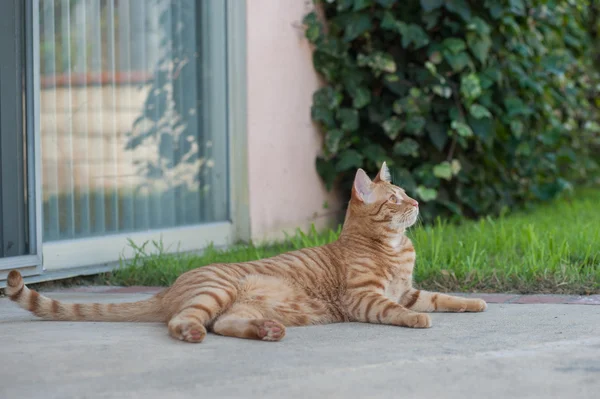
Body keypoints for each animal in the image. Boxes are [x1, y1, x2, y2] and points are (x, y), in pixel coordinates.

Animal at [5, 163, 488, 344]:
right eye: (395, 199)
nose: (418, 203)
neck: (394, 248)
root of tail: (171, 285)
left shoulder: (408, 290)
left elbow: (442, 297)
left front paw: (474, 303)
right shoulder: (366, 298)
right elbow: (398, 311)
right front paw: (417, 321)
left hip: (236, 304)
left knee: (223, 324)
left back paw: (266, 330)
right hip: (216, 292)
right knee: (189, 323)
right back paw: (194, 333)